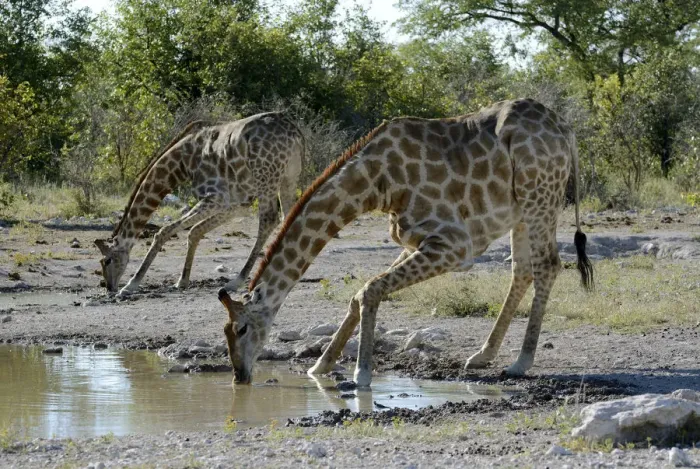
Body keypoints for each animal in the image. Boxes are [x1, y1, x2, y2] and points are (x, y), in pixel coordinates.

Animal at [94, 112, 305, 297]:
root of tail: (294, 132)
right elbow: (194, 231)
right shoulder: (236, 203)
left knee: (269, 219)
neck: (181, 164)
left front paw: (131, 284)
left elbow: (164, 231)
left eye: (107, 261)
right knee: (288, 215)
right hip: (288, 176)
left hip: (267, 177)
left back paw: (236, 281)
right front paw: (182, 280)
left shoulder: (216, 197)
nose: (109, 287)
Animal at [217, 99, 594, 386]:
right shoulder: (415, 241)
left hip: (540, 195)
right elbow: (359, 294)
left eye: (241, 329)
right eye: (226, 331)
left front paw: (361, 374)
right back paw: (483, 355)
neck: (377, 184)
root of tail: (565, 129)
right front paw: (321, 366)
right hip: (522, 211)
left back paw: (521, 361)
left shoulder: (454, 245)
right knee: (523, 270)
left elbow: (369, 290)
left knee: (547, 265)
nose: (239, 376)